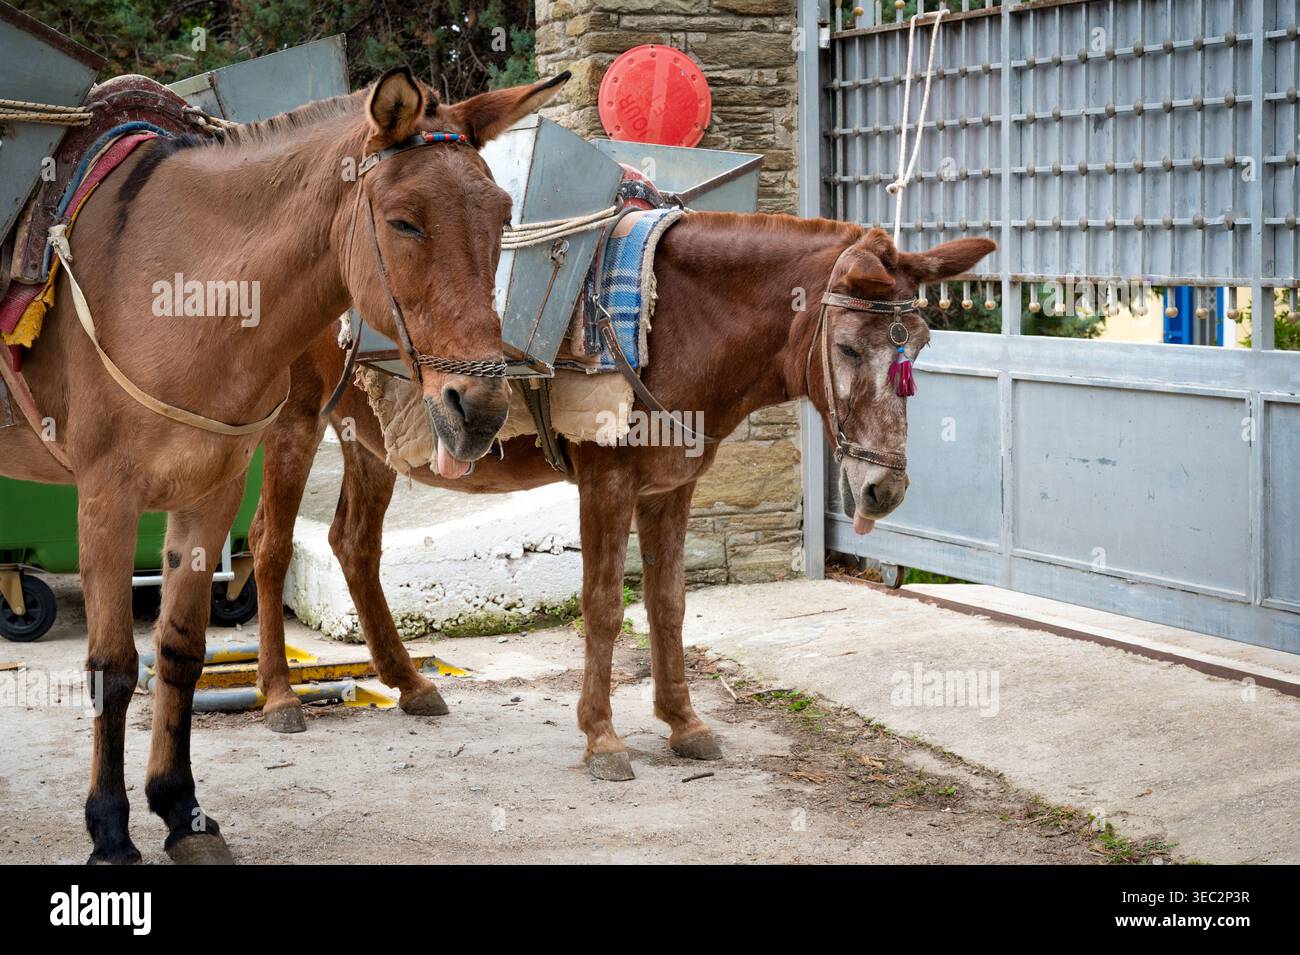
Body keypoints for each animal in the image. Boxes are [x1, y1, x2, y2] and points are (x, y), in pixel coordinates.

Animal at [0, 67, 568, 863]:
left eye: (501, 215)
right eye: (404, 222)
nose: (480, 409)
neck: (170, 283)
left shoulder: (211, 489)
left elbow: (181, 649)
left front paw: (181, 811)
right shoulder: (106, 496)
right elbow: (112, 667)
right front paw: (110, 831)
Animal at [248, 213, 996, 780]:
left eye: (920, 344)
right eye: (846, 348)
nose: (884, 489)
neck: (679, 318)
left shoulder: (672, 487)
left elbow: (668, 605)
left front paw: (684, 723)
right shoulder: (605, 483)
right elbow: (606, 605)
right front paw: (602, 736)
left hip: (368, 437)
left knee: (353, 543)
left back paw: (409, 682)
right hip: (295, 419)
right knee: (270, 542)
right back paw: (279, 695)